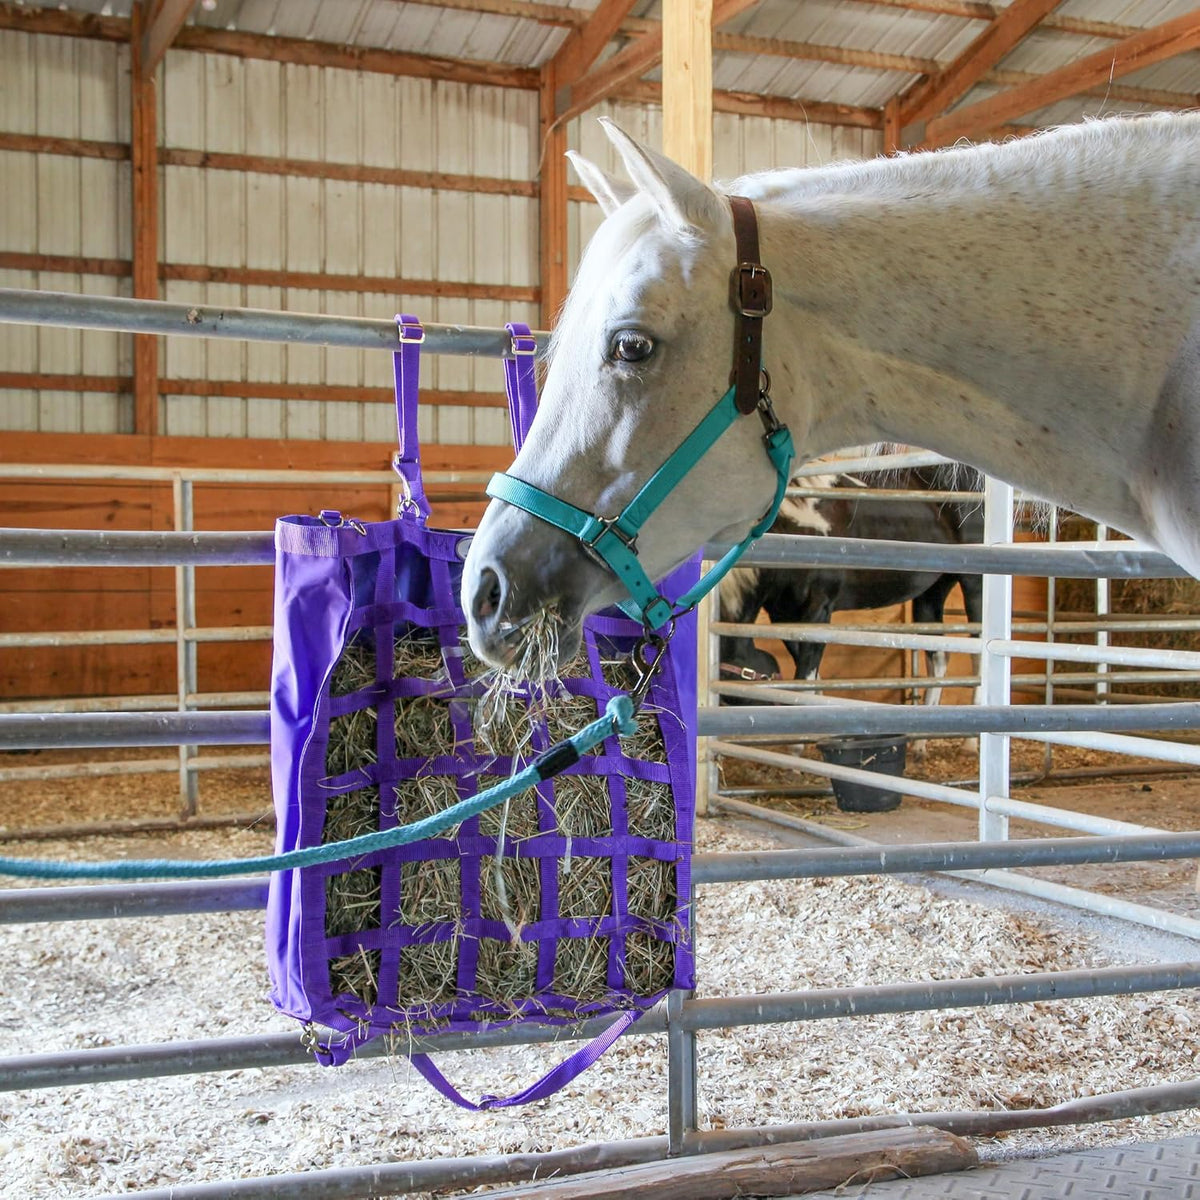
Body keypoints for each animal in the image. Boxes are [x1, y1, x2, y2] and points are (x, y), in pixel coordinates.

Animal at [718, 468, 984, 752]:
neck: (795, 531)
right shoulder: (784, 616)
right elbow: (810, 671)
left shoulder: (819, 610)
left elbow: (805, 674)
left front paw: (797, 745)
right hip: (932, 593)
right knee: (939, 657)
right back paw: (919, 742)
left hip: (975, 585)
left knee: (978, 654)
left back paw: (970, 741)